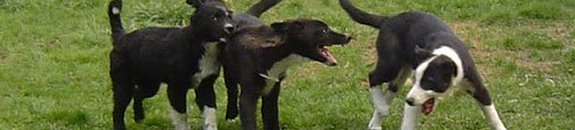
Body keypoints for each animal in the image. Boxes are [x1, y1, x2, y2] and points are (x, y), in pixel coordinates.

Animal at [107, 0, 235, 129]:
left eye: (229, 16)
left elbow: (210, 115)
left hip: (150, 84)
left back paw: (139, 117)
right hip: (123, 84)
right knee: (117, 111)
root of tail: (122, 37)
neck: (199, 45)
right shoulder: (176, 88)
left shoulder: (205, 85)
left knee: (137, 94)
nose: (231, 28)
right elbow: (182, 118)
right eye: (214, 17)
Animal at [224, 18, 352, 129]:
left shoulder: (272, 92)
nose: (348, 37)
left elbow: (272, 120)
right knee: (232, 91)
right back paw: (231, 116)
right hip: (229, 73)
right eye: (323, 31)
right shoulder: (248, 97)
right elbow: (249, 122)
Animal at [340, 0, 506, 130]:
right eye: (417, 79)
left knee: (389, 91)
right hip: (391, 64)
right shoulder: (415, 96)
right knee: (373, 77)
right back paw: (381, 107)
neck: (445, 54)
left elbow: (493, 116)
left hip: (401, 74)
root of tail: (388, 19)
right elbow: (408, 124)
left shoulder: (478, 87)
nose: (408, 100)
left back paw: (376, 121)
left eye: (430, 81)